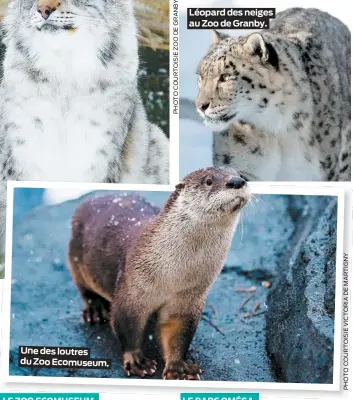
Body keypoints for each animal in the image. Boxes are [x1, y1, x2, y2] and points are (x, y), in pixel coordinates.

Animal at [68, 167, 250, 380]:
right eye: (208, 181)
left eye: (241, 174)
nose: (237, 181)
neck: (175, 276)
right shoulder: (131, 289)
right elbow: (126, 326)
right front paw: (137, 361)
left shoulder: (188, 299)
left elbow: (178, 334)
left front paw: (179, 367)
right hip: (76, 256)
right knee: (82, 286)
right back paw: (95, 309)